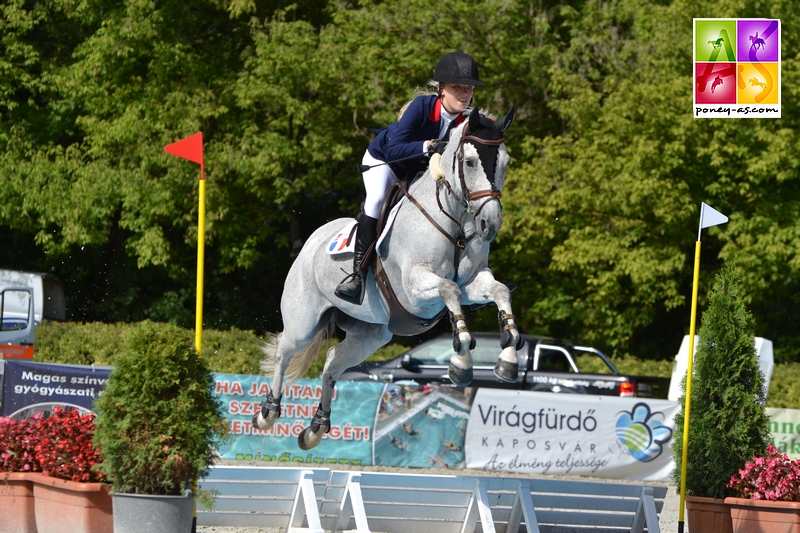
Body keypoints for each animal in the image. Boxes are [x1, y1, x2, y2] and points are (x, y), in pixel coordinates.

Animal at [253, 107, 520, 448]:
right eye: (471, 162)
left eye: (505, 162)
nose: (490, 224)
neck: (454, 219)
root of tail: (311, 241)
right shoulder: (415, 289)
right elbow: (449, 290)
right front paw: (461, 362)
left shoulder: (474, 282)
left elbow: (500, 292)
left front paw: (508, 358)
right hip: (303, 322)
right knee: (283, 352)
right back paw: (267, 413)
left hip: (372, 334)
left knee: (332, 362)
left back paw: (316, 428)